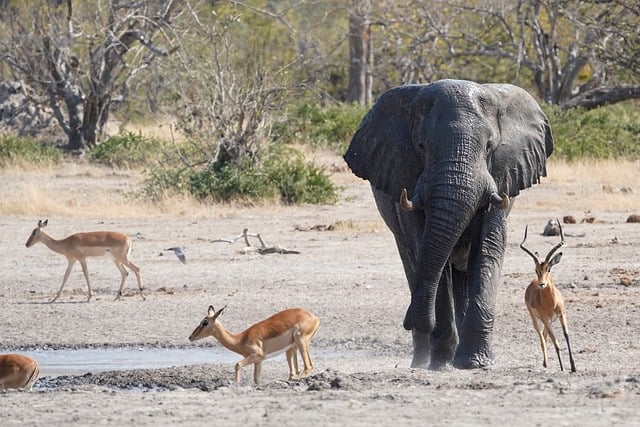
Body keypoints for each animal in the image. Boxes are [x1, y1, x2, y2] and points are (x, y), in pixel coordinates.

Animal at [342, 80, 552, 372]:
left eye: (489, 147)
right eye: (421, 146)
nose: (407, 320)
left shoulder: (502, 180)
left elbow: (487, 251)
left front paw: (476, 364)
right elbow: (431, 259)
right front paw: (441, 364)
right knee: (415, 266)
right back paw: (422, 362)